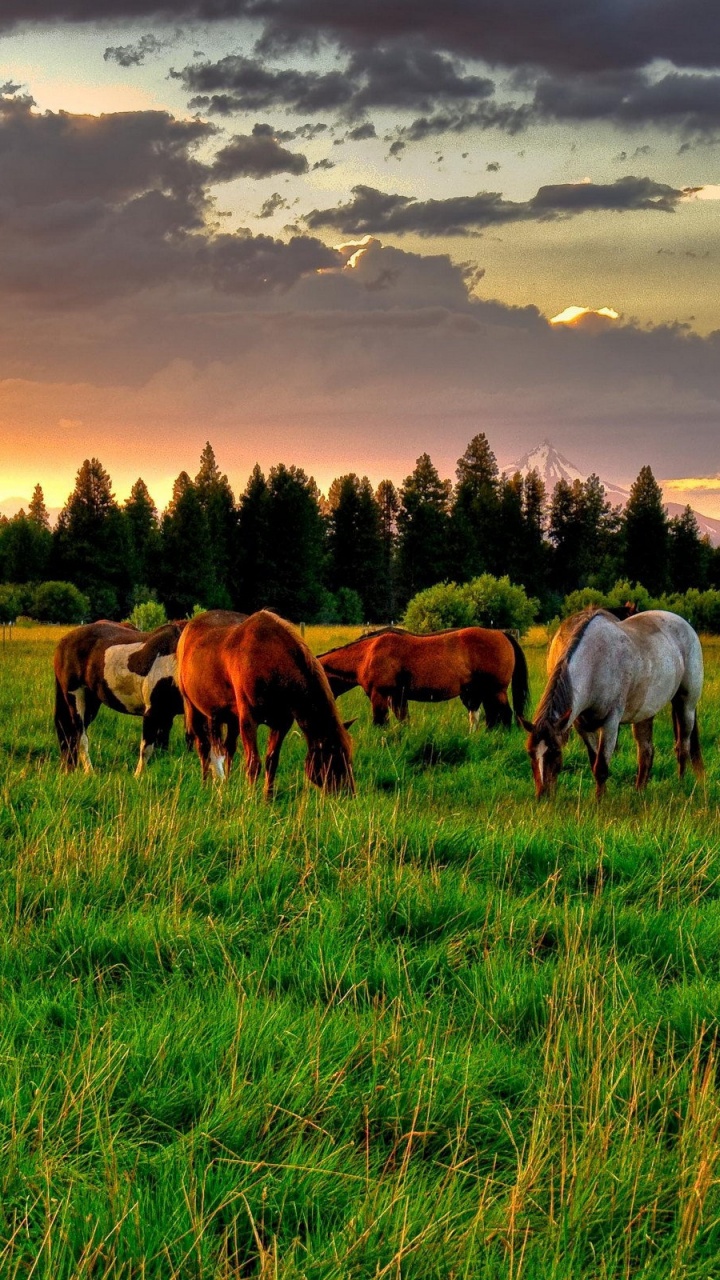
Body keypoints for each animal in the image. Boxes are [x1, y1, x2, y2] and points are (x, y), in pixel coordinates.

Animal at [54, 619, 187, 776]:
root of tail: (64, 642)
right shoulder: (152, 713)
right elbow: (146, 749)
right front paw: (138, 777)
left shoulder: (168, 715)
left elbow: (162, 750)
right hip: (76, 697)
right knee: (80, 737)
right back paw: (90, 773)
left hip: (91, 703)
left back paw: (69, 769)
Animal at [177, 609, 355, 798]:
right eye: (335, 755)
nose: (350, 794)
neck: (270, 662)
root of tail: (188, 627)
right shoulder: (248, 721)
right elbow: (253, 763)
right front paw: (250, 798)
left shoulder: (281, 723)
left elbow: (272, 760)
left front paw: (267, 798)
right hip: (193, 708)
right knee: (203, 748)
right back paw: (205, 785)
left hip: (229, 719)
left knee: (228, 749)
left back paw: (227, 784)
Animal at [317, 626, 530, 729]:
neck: (368, 654)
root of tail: (501, 634)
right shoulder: (398, 699)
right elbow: (404, 722)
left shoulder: (380, 696)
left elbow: (380, 724)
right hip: (483, 693)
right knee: (492, 718)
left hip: (496, 691)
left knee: (505, 716)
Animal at [519, 608, 704, 799]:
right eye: (530, 752)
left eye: (555, 751)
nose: (543, 795)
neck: (594, 662)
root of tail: (684, 623)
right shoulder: (581, 725)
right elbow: (594, 761)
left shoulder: (610, 723)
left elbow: (601, 767)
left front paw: (600, 801)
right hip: (644, 713)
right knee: (646, 752)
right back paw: (639, 792)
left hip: (686, 705)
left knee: (682, 747)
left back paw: (680, 785)